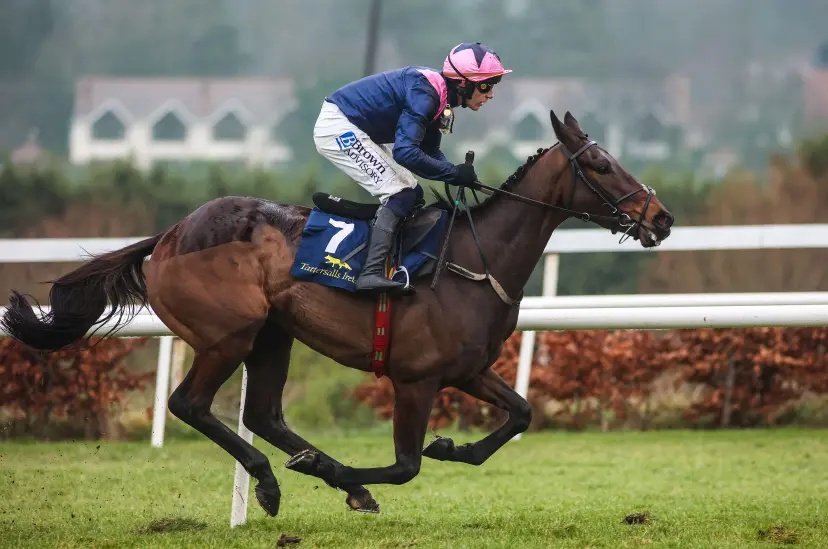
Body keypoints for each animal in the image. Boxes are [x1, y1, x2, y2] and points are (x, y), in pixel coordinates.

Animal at [0, 112, 672, 520]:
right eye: (602, 165)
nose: (661, 218)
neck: (474, 259)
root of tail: (168, 236)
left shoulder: (467, 369)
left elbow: (521, 415)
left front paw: (448, 446)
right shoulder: (416, 378)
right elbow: (405, 465)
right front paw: (349, 467)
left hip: (273, 334)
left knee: (262, 414)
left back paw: (316, 473)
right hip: (230, 333)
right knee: (191, 404)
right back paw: (279, 478)